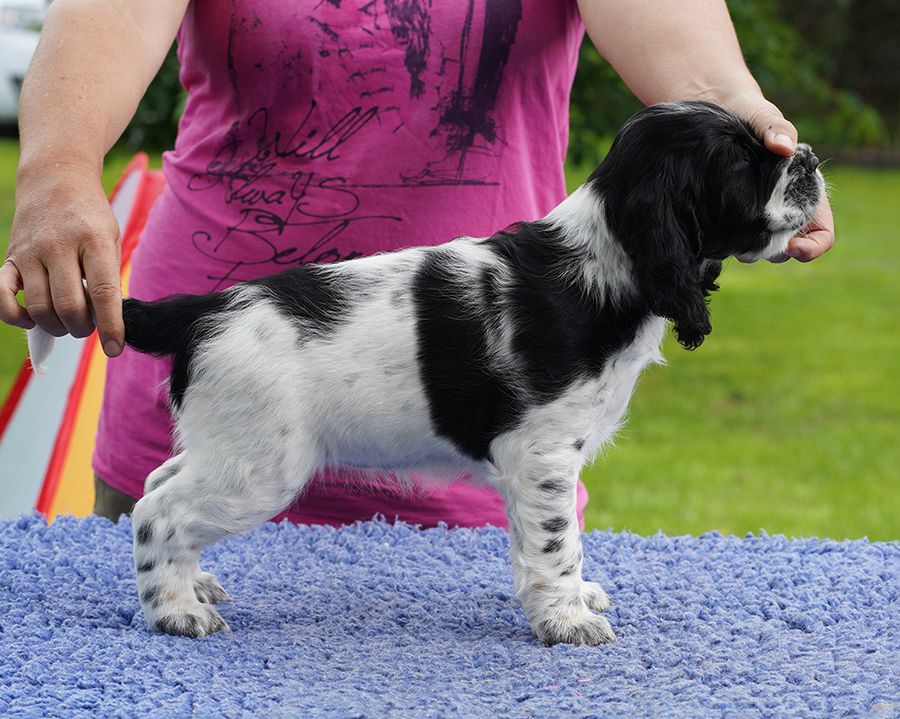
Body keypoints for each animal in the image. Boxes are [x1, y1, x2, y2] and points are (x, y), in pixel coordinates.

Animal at [28, 98, 828, 644]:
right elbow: (556, 543)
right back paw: (174, 610)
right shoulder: (543, 454)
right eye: (742, 163)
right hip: (259, 466)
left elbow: (538, 543)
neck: (607, 265)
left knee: (158, 485)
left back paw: (197, 585)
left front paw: (564, 601)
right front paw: (567, 621)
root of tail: (208, 305)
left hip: (225, 445)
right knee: (156, 512)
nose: (811, 157)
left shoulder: (533, 467)